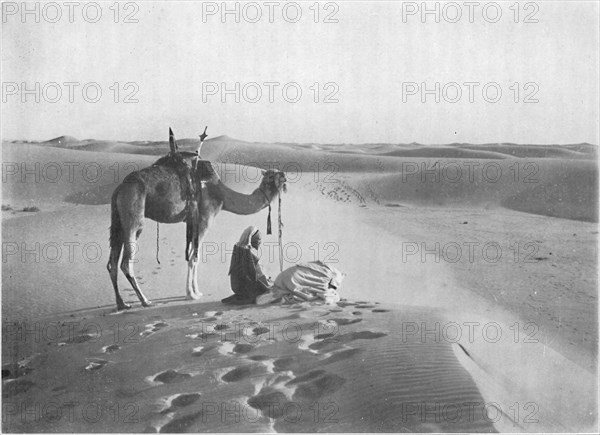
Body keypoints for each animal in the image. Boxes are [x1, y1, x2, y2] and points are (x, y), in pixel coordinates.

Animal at [106, 129, 288, 310]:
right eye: (272, 176)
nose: (285, 176)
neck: (221, 195)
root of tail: (120, 188)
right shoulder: (205, 219)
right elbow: (195, 257)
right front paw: (192, 294)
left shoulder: (192, 222)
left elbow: (194, 255)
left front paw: (195, 291)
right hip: (133, 216)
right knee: (126, 261)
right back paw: (145, 300)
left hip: (118, 221)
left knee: (112, 262)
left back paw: (121, 303)